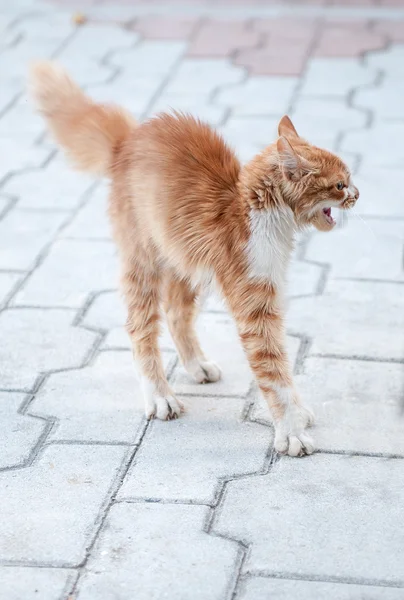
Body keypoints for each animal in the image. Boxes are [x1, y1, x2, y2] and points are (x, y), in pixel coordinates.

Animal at [31, 61, 360, 458]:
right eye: (340, 185)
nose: (358, 194)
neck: (262, 217)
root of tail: (128, 140)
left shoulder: (269, 296)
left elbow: (283, 367)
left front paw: (296, 414)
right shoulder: (255, 310)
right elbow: (274, 373)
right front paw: (291, 432)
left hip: (183, 261)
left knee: (176, 313)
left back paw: (196, 365)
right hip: (144, 261)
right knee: (140, 328)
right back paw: (160, 396)